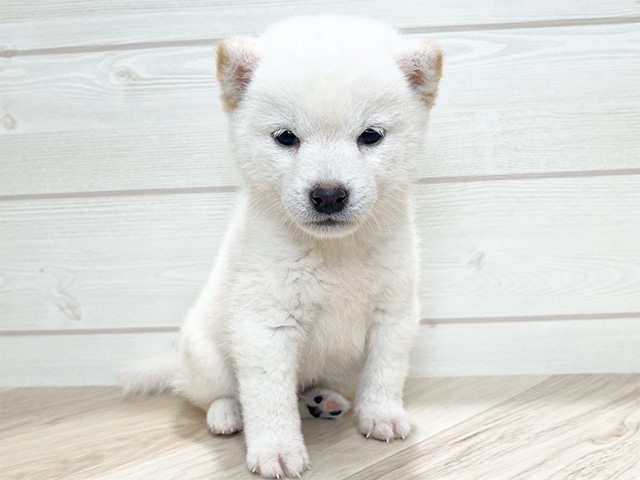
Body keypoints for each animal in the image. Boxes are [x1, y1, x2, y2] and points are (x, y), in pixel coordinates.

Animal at [122, 15, 442, 480]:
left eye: (370, 136)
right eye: (286, 138)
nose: (328, 195)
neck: (334, 253)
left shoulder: (393, 314)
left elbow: (384, 374)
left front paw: (381, 415)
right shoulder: (265, 325)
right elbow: (268, 398)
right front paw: (275, 449)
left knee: (303, 386)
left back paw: (321, 399)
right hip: (207, 356)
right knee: (214, 393)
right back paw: (227, 415)